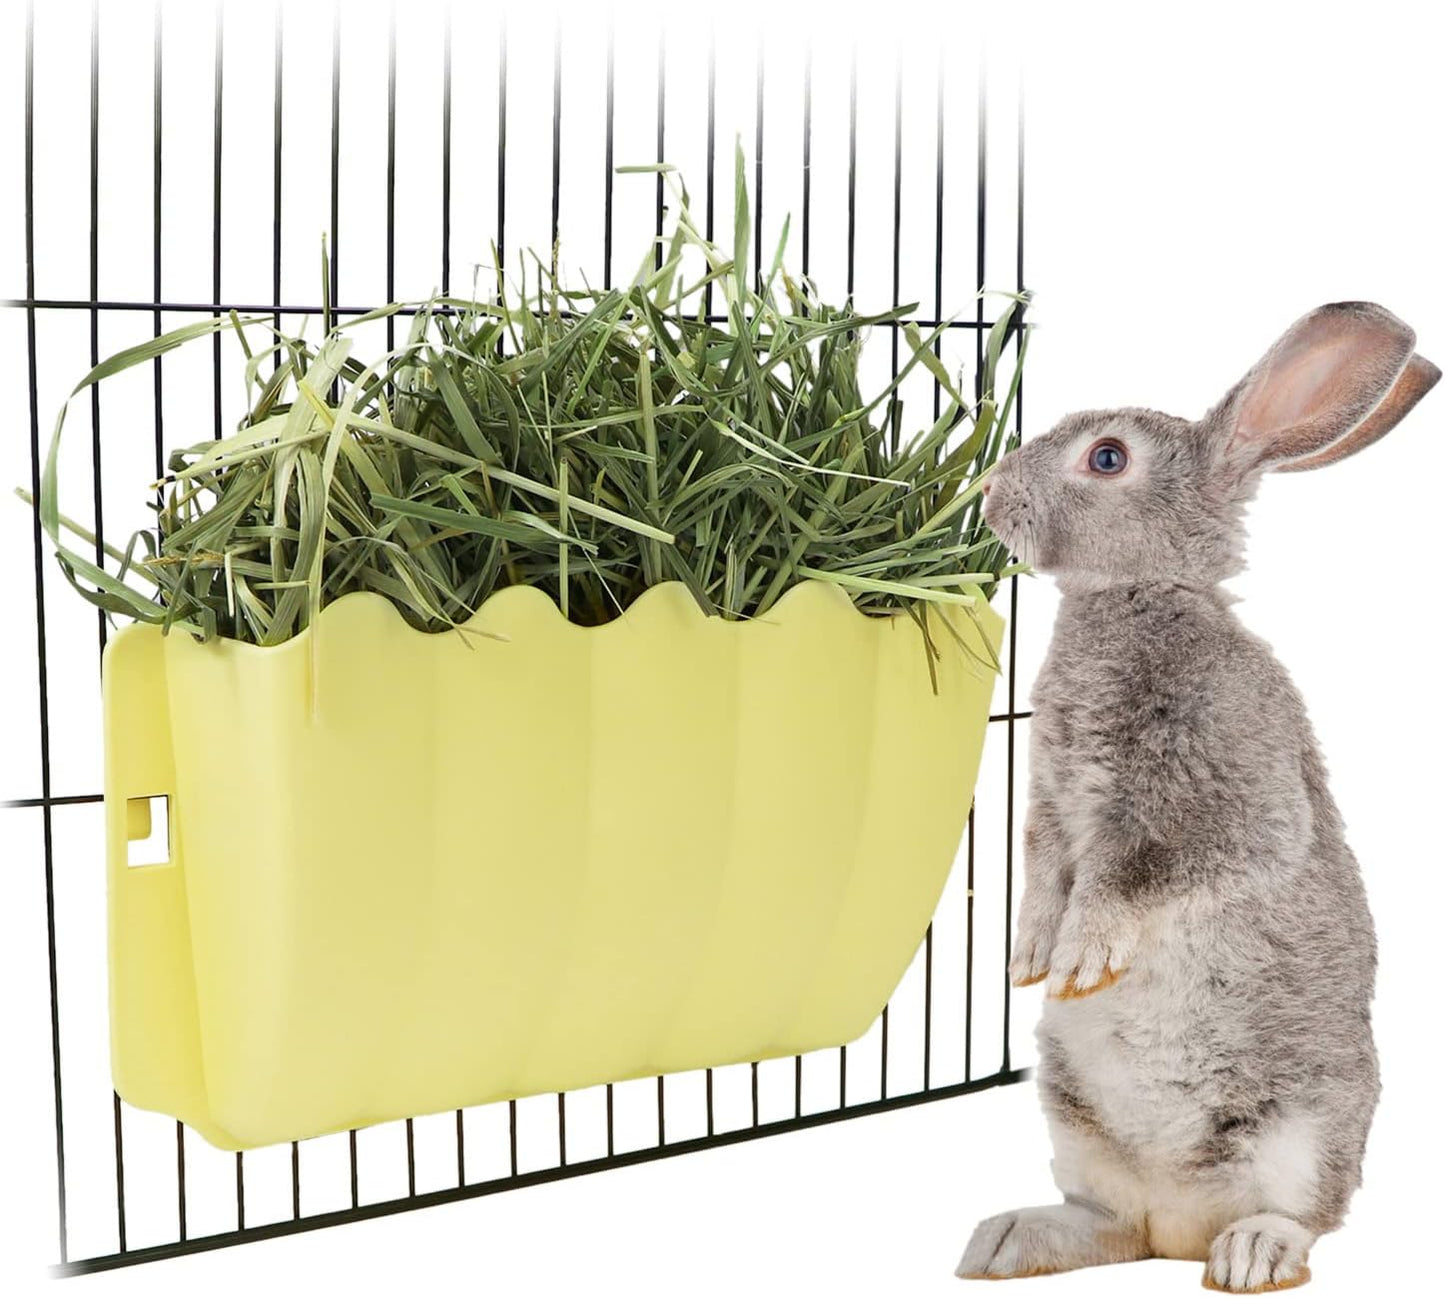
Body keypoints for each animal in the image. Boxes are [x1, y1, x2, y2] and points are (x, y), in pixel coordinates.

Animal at [955, 302, 1439, 1292]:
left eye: (1106, 458)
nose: (988, 494)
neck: (1137, 595)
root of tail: (1178, 1224)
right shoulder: (1051, 806)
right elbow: (1044, 873)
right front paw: (1028, 958)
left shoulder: (1218, 802)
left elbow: (1139, 875)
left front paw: (1079, 957)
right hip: (1072, 1114)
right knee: (1111, 1226)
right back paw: (1008, 1240)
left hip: (1306, 1125)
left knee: (1303, 1216)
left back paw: (1249, 1254)